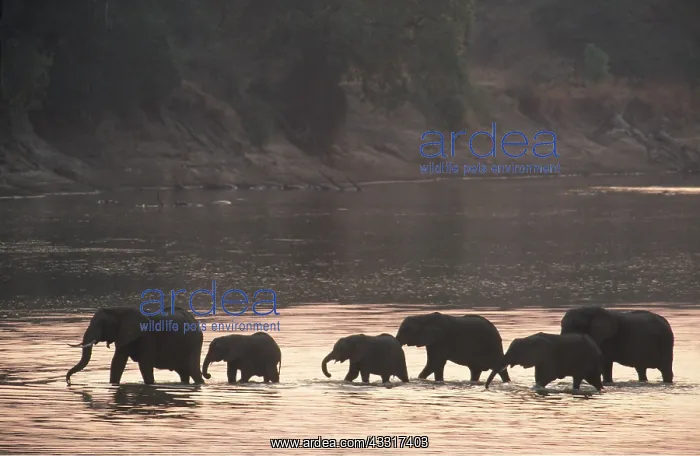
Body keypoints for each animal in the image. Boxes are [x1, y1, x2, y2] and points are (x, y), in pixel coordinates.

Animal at [66, 306, 204, 385]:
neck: (120, 310)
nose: (68, 381)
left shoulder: (147, 337)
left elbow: (145, 365)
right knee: (184, 374)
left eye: (100, 324)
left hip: (195, 343)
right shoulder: (123, 336)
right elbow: (117, 362)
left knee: (194, 372)